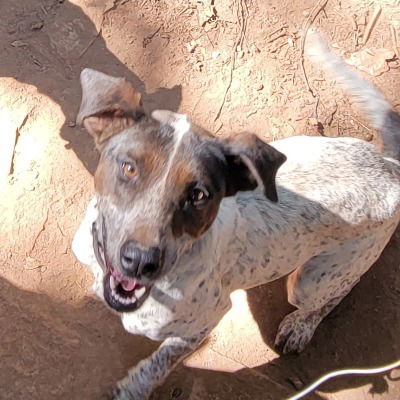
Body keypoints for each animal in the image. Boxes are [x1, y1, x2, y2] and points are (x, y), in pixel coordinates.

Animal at [72, 35, 400, 400]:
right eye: (129, 168)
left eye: (199, 195)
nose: (142, 261)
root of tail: (390, 168)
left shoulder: (205, 321)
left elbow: (158, 363)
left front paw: (133, 389)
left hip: (314, 279)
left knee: (331, 295)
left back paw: (300, 326)